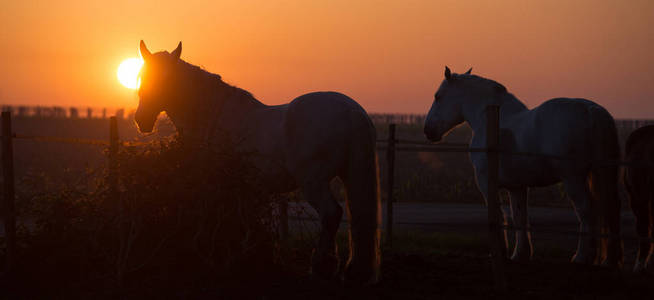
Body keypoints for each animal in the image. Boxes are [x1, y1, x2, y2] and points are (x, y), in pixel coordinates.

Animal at [137, 40, 384, 284]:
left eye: (166, 78)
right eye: (143, 75)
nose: (141, 119)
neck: (211, 116)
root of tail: (351, 111)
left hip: (313, 182)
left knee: (331, 214)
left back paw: (321, 267)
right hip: (349, 176)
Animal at [426, 67, 624, 266]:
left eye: (438, 96)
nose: (428, 130)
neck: (492, 119)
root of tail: (591, 111)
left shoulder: (486, 183)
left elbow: (498, 215)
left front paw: (500, 253)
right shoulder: (517, 187)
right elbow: (519, 217)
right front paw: (520, 254)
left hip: (573, 179)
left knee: (586, 211)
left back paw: (582, 257)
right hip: (601, 174)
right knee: (610, 210)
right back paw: (610, 259)